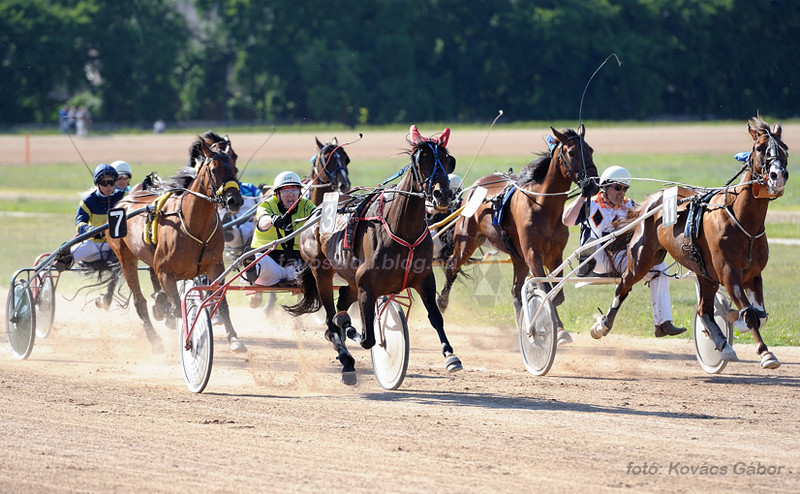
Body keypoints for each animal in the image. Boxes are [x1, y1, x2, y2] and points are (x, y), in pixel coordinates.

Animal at [106, 135, 245, 352]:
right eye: (214, 170)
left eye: (235, 168)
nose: (234, 201)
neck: (192, 224)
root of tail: (124, 201)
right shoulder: (166, 273)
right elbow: (180, 309)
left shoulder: (215, 266)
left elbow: (220, 302)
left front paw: (234, 338)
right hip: (125, 257)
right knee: (139, 301)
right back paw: (155, 340)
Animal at [286, 125, 462, 384]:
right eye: (421, 160)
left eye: (448, 160)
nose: (443, 195)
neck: (401, 229)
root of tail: (315, 214)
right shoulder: (367, 286)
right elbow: (368, 338)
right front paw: (354, 331)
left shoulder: (424, 279)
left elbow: (436, 317)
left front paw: (450, 356)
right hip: (322, 273)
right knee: (330, 317)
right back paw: (345, 357)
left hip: (350, 278)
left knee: (341, 303)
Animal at [434, 126, 596, 336]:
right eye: (571, 152)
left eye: (590, 150)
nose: (593, 183)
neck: (543, 206)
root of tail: (476, 186)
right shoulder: (533, 254)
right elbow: (546, 291)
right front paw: (549, 327)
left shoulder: (554, 256)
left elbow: (556, 294)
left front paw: (558, 329)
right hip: (466, 241)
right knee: (452, 267)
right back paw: (442, 303)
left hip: (517, 256)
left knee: (515, 290)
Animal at [592, 115, 788, 370]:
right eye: (759, 148)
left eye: (784, 148)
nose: (778, 175)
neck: (742, 221)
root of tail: (653, 199)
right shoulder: (729, 273)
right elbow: (750, 314)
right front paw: (766, 354)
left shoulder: (753, 275)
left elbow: (760, 315)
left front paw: (733, 322)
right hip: (642, 258)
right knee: (623, 285)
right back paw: (602, 325)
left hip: (705, 274)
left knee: (703, 310)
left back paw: (723, 345)